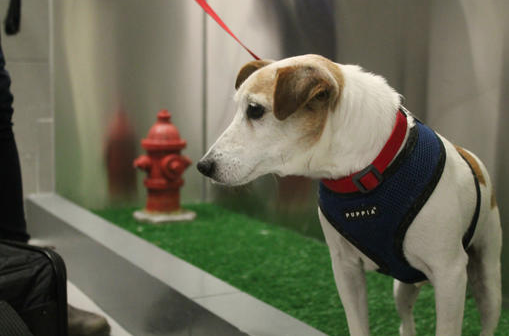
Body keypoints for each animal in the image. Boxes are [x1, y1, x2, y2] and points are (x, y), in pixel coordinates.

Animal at [195, 55, 500, 336]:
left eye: (255, 110)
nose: (203, 166)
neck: (366, 177)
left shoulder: (450, 275)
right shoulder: (345, 268)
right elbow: (357, 324)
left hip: (487, 282)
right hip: (401, 289)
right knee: (406, 322)